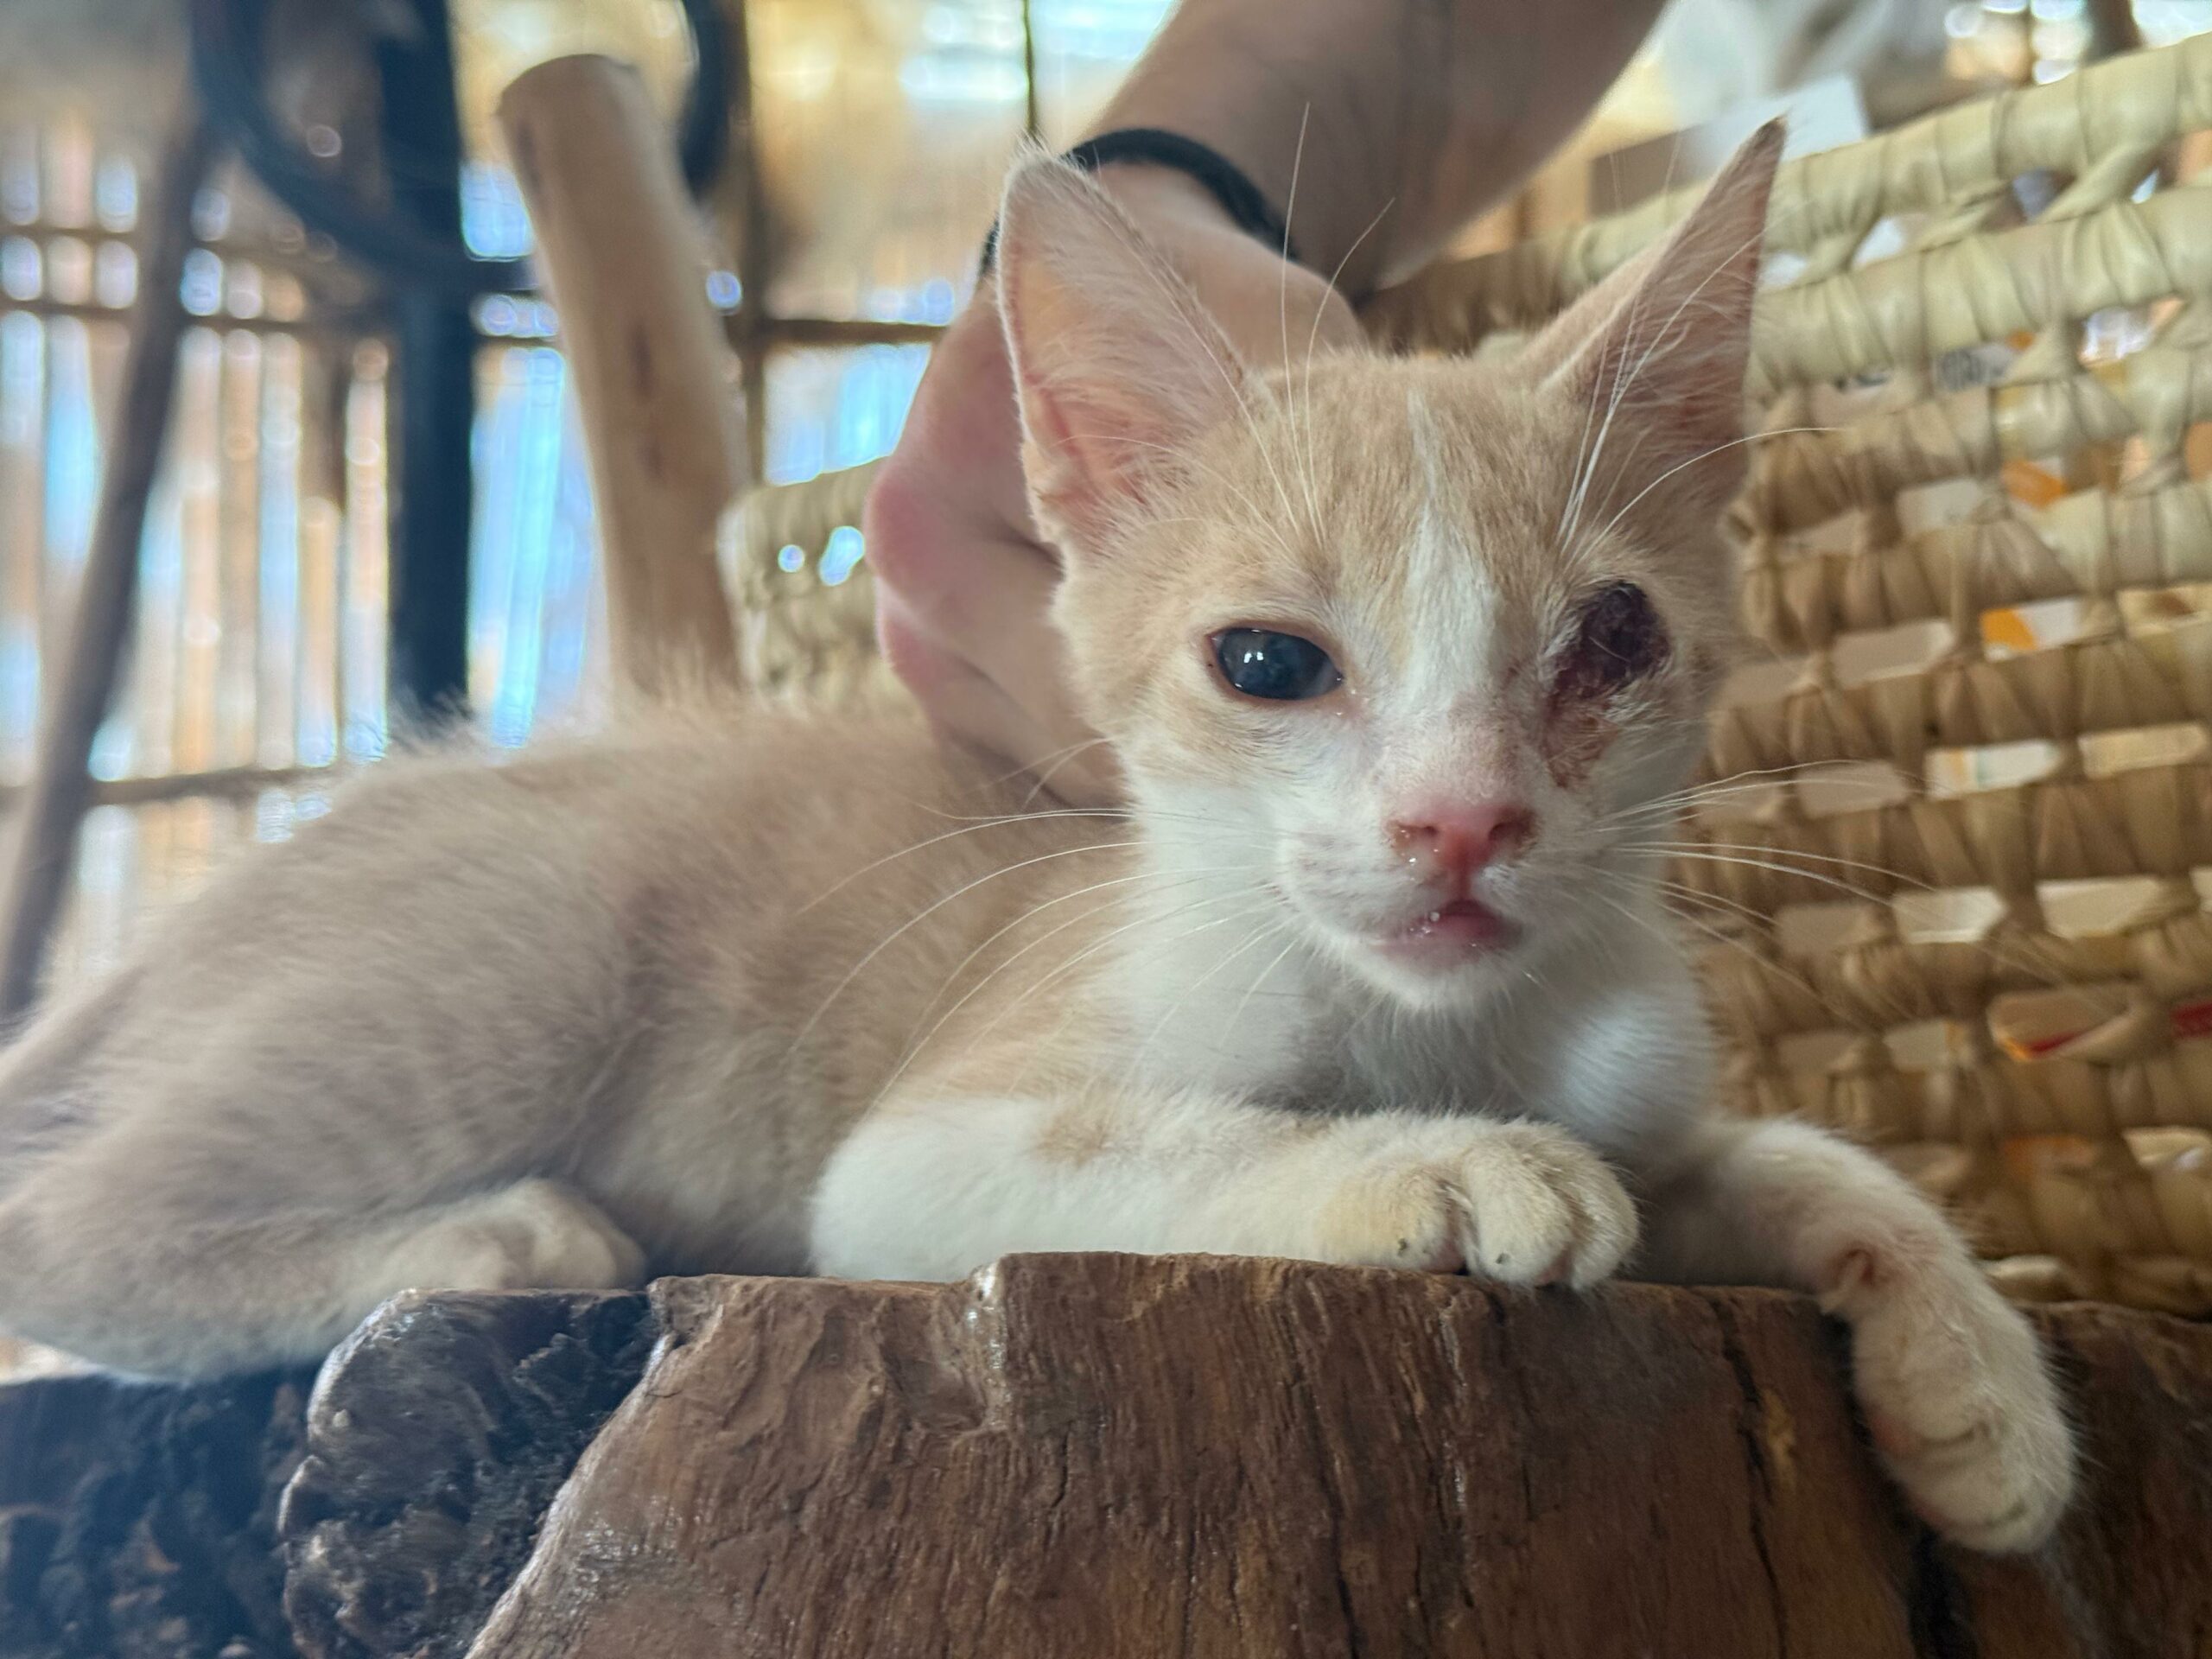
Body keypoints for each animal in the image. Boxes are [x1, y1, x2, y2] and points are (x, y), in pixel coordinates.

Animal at [0, 126, 2074, 1552]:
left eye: (1615, 639)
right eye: (1268, 663)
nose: (1464, 816)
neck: (1438, 1020)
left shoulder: (1641, 1087)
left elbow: (1788, 1155)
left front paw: (1976, 1385)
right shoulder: (916, 1159)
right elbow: (1169, 1144)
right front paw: (1436, 1163)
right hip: (517, 955)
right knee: (56, 1226)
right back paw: (496, 1229)